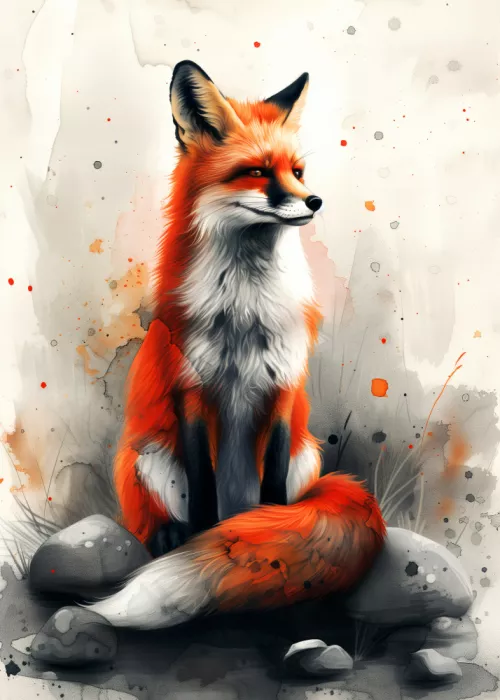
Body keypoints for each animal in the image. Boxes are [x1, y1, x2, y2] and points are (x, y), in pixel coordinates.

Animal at [86, 61, 385, 629]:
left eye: (298, 172)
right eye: (258, 172)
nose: (314, 202)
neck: (245, 311)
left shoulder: (282, 388)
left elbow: (273, 495)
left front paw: (269, 534)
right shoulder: (191, 391)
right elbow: (203, 490)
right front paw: (206, 540)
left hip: (308, 456)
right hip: (146, 453)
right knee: (157, 519)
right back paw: (173, 535)